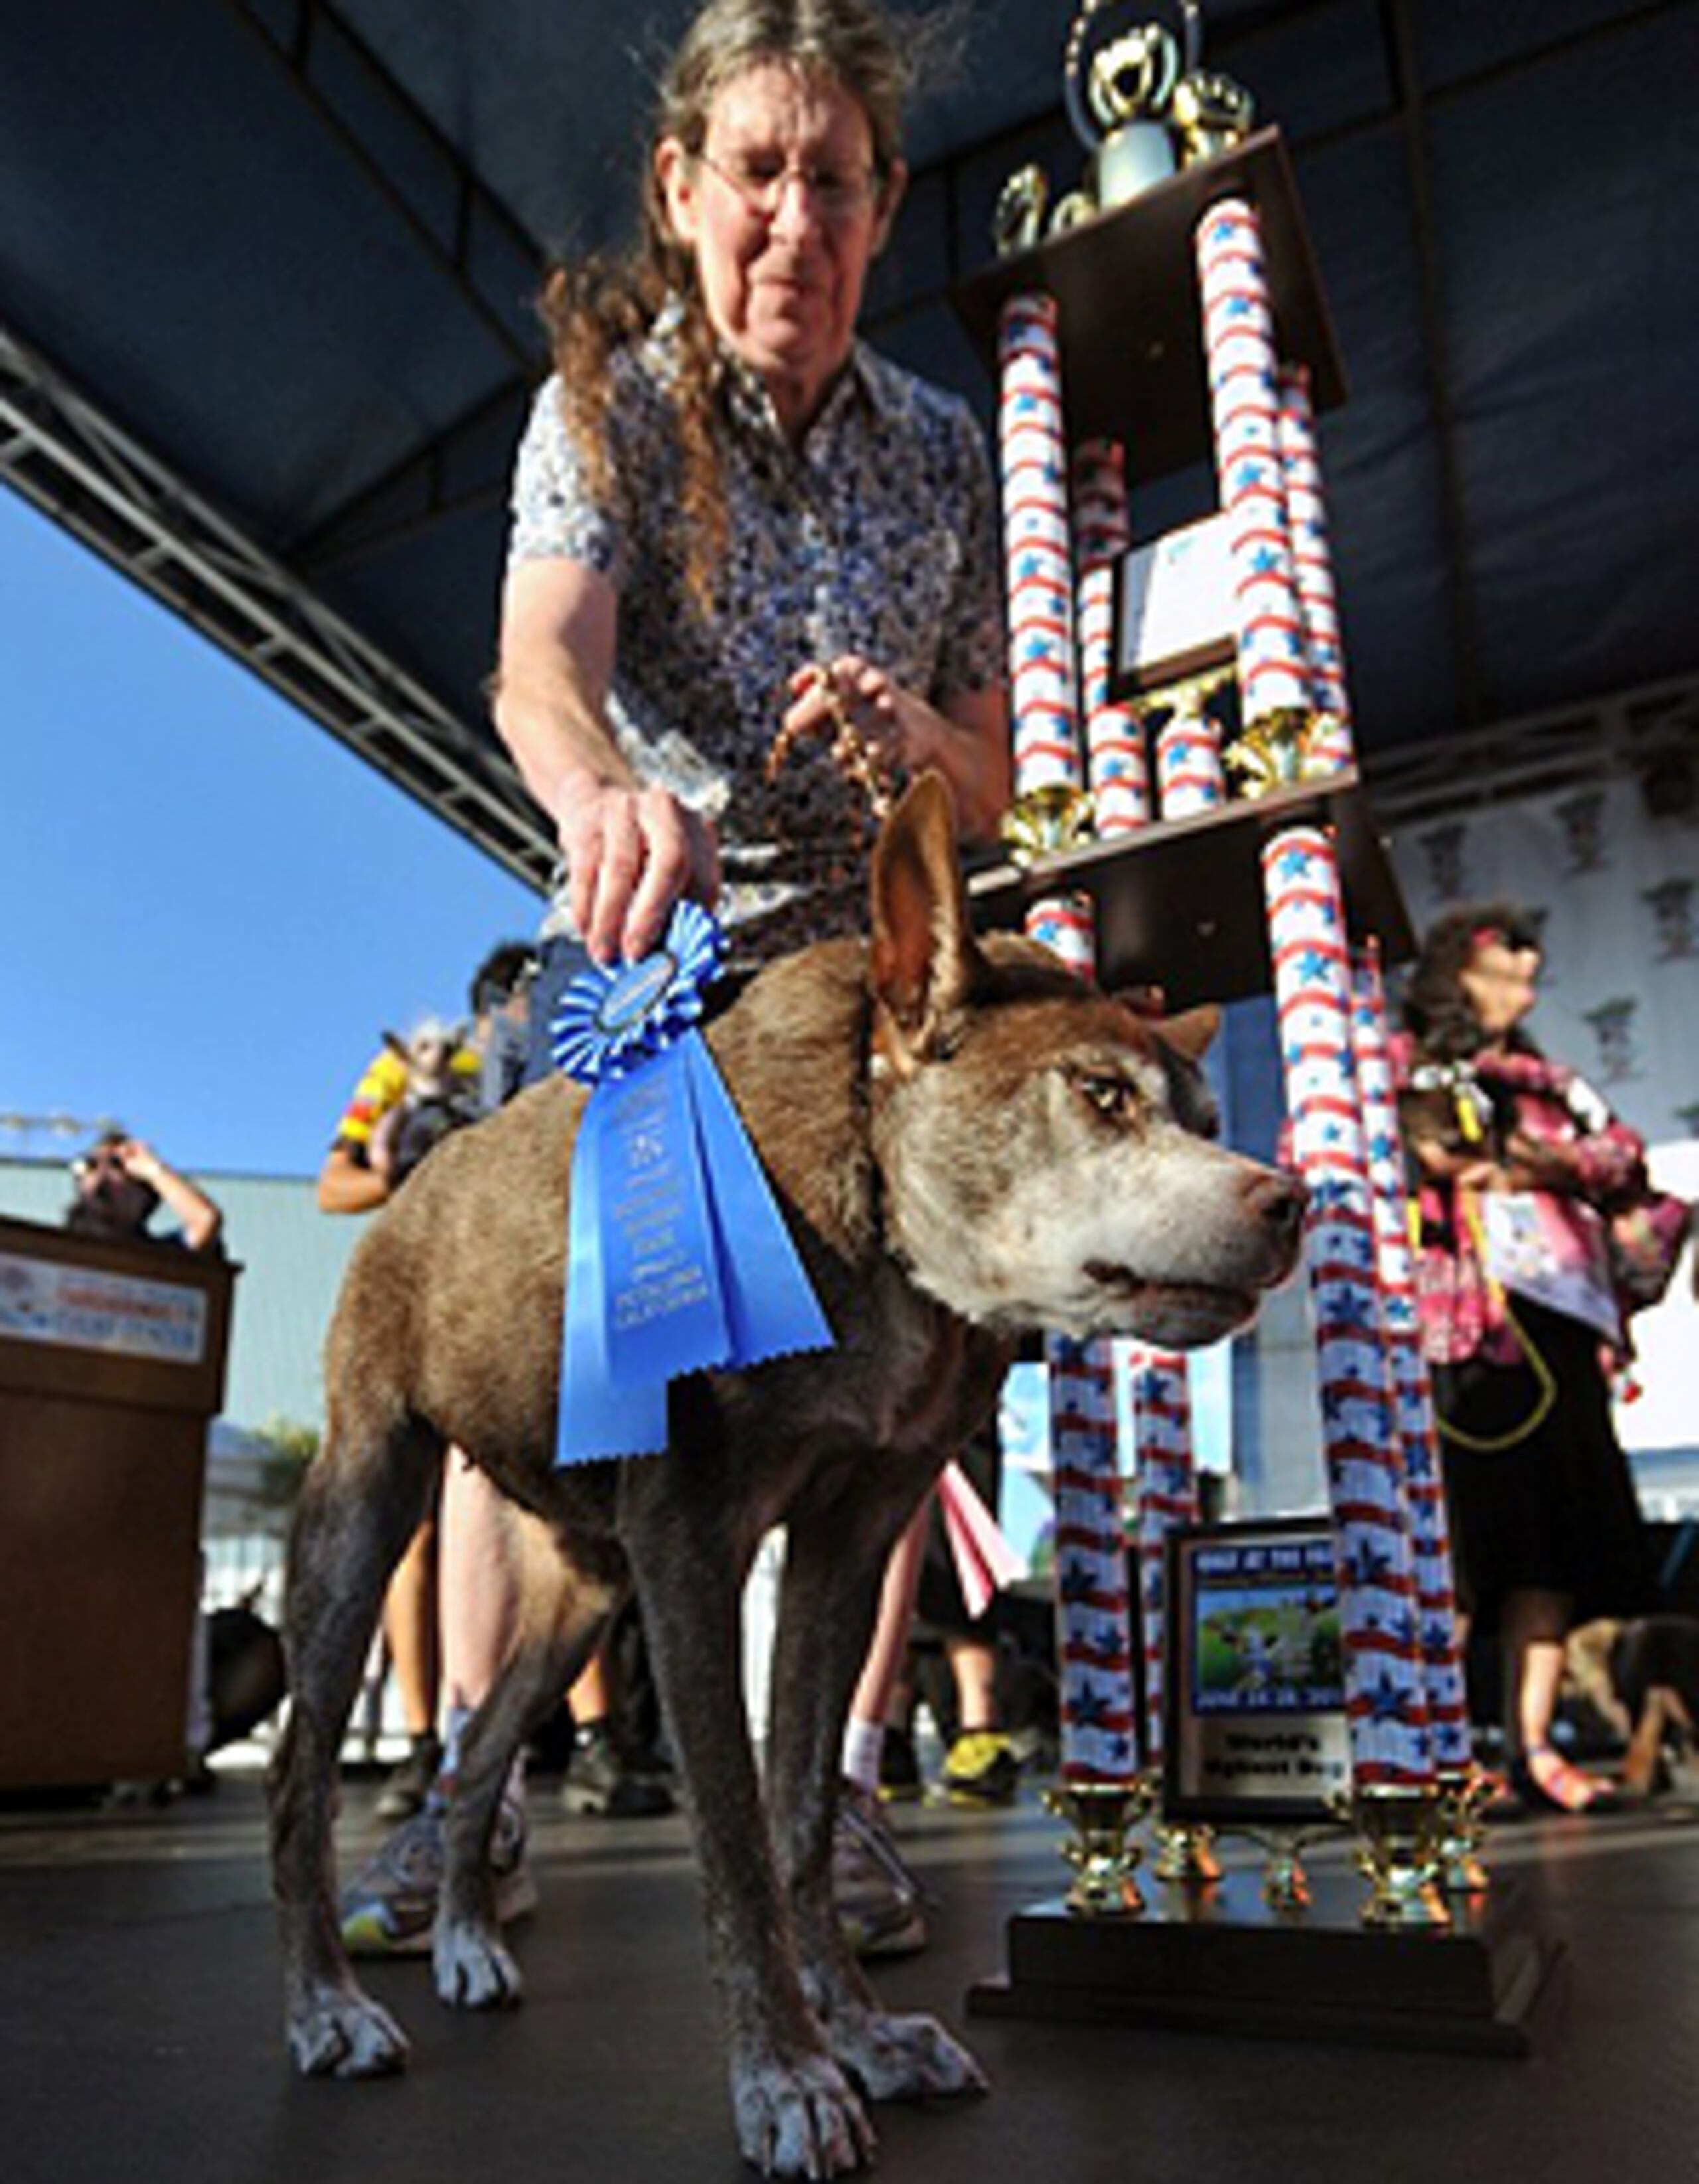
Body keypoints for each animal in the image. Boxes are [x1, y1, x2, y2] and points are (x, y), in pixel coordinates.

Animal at [268, 777, 1301, 2175]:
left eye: (1206, 1122)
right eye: (1099, 1095)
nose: (1290, 1200)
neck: (874, 1205)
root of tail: (422, 1181)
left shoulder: (847, 1547)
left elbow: (804, 1812)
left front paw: (860, 2034)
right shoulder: (693, 1553)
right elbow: (737, 1841)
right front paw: (789, 2076)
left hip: (585, 1591)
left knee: (481, 1749)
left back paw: (472, 1943)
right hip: (368, 1509)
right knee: (301, 1771)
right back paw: (327, 2006)